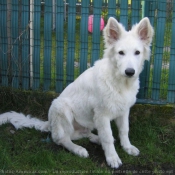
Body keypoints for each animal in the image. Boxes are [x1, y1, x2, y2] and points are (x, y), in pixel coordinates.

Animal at [0, 17, 153, 168]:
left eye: (137, 53)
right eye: (121, 53)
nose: (130, 72)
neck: (119, 82)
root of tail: (49, 124)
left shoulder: (123, 111)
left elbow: (124, 131)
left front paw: (127, 147)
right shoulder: (102, 115)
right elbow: (108, 137)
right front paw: (112, 158)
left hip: (89, 121)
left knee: (81, 134)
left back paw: (95, 138)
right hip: (61, 107)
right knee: (62, 139)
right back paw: (78, 149)